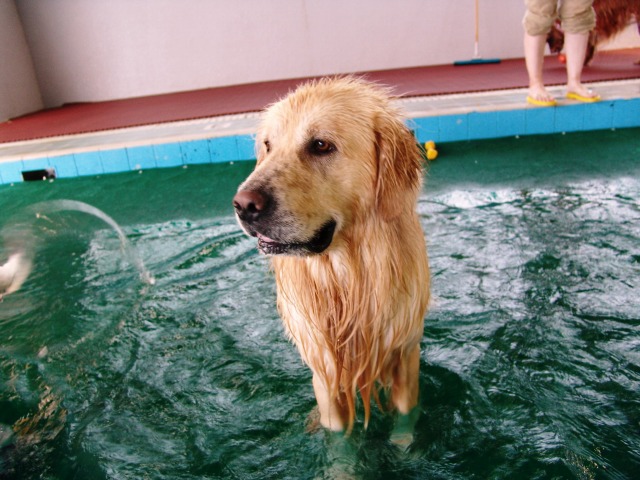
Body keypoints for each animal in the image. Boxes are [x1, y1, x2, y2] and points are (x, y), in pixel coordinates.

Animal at [233, 77, 430, 437]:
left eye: (321, 145)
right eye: (268, 145)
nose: (243, 205)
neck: (344, 277)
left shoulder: (405, 354)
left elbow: (405, 424)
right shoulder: (324, 368)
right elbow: (339, 438)